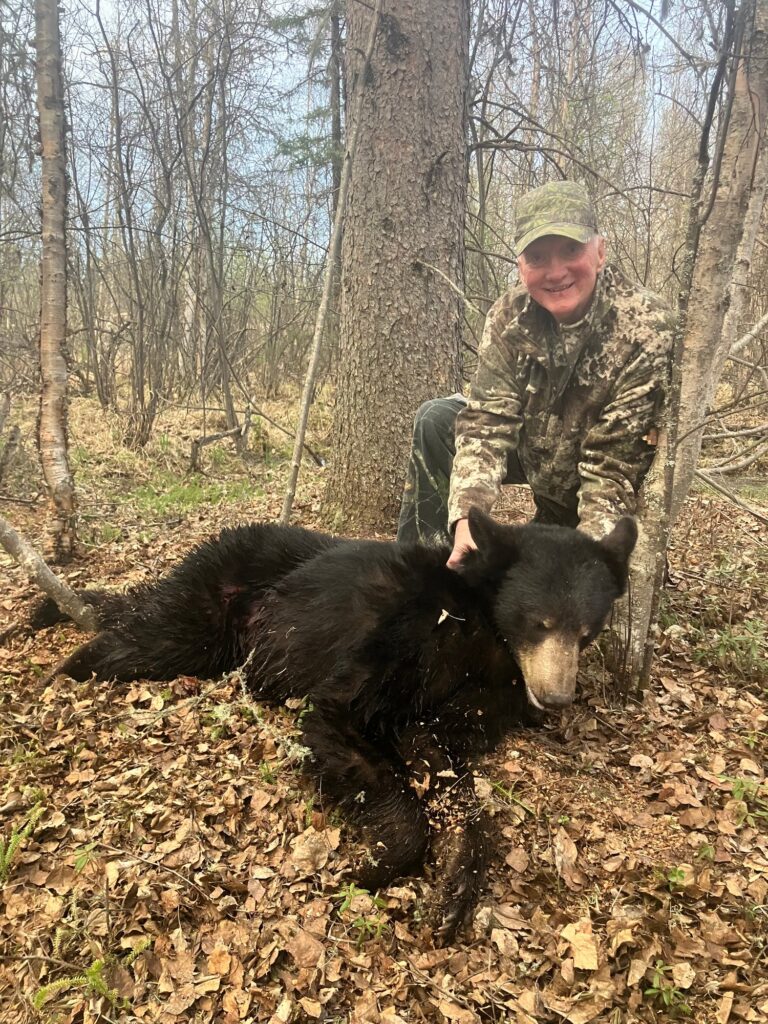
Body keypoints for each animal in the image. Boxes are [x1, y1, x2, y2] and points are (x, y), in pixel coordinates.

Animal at [52, 508, 637, 942]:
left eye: (587, 631)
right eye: (540, 622)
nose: (555, 699)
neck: (480, 627)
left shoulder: (467, 702)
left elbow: (444, 763)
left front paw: (456, 884)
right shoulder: (399, 639)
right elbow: (341, 717)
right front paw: (375, 863)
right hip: (209, 606)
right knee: (144, 632)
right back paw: (61, 653)